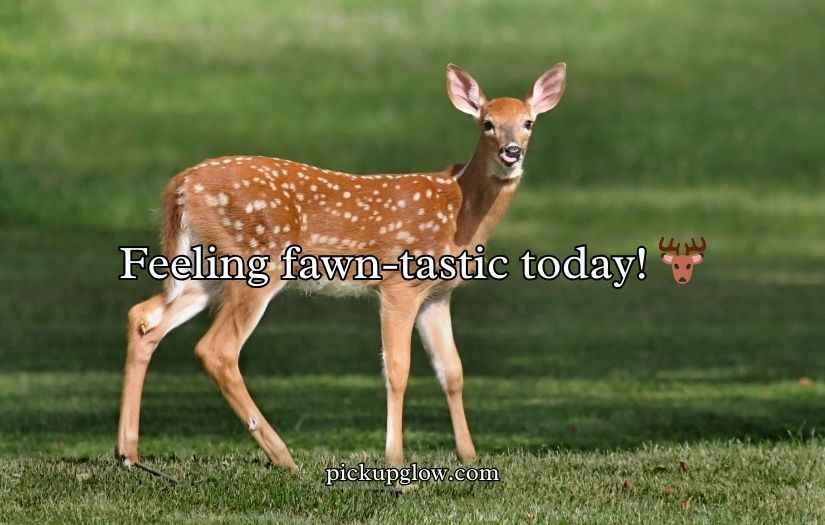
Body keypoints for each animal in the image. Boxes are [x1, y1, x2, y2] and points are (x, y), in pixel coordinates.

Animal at [116, 62, 567, 472]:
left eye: (528, 123)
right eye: (487, 124)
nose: (512, 153)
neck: (459, 210)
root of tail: (179, 186)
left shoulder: (437, 295)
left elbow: (451, 371)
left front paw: (470, 456)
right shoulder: (399, 282)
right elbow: (398, 369)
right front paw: (396, 461)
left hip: (206, 267)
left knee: (144, 317)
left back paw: (128, 452)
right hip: (256, 259)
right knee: (216, 349)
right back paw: (284, 457)